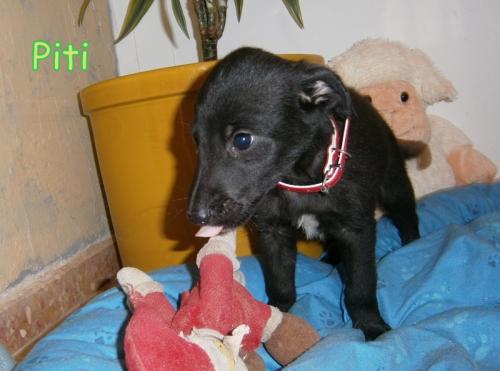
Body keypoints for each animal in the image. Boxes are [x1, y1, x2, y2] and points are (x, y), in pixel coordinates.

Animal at [186, 48, 420, 342]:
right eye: (197, 142)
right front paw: (278, 314)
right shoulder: (273, 232)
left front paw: (372, 326)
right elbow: (280, 280)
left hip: (393, 184)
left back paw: (413, 245)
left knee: (407, 216)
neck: (298, 177)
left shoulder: (356, 230)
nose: (195, 216)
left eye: (242, 140)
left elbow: (360, 285)